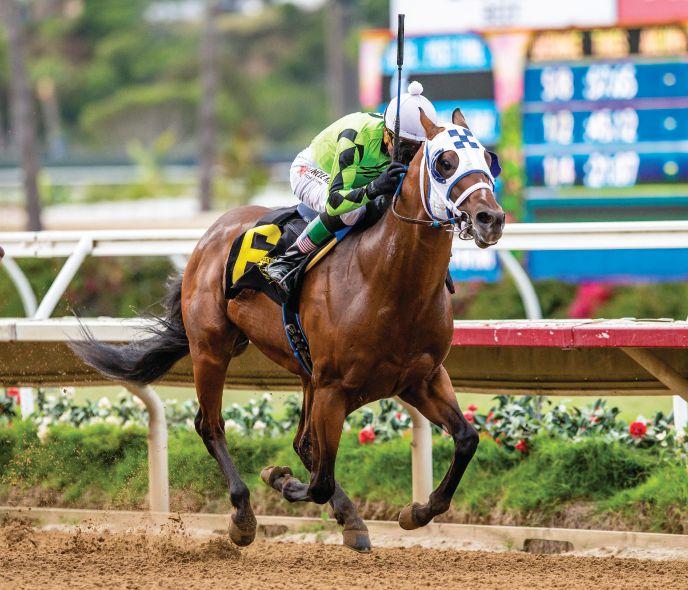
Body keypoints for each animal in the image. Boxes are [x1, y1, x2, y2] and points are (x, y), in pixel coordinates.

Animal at [72, 108, 505, 553]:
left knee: (302, 443)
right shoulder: (334, 387)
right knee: (211, 425)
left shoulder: (422, 378)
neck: (388, 279)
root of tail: (211, 234)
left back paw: (349, 519)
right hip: (211, 348)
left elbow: (466, 439)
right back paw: (244, 516)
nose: (490, 218)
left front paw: (416, 512)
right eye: (444, 162)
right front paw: (278, 478)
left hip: (304, 371)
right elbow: (317, 481)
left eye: (489, 159)